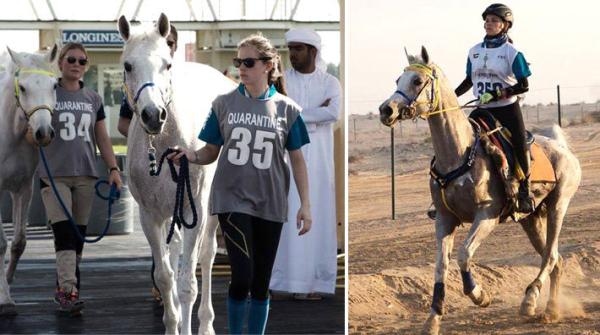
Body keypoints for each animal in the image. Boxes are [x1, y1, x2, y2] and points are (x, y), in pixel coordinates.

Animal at [117, 14, 237, 334]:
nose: (152, 114)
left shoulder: (194, 210)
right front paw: (172, 323)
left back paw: (206, 323)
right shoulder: (150, 216)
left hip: (207, 210)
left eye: (167, 64)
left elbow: (187, 283)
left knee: (206, 257)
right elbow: (164, 276)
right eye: (128, 65)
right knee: (176, 253)